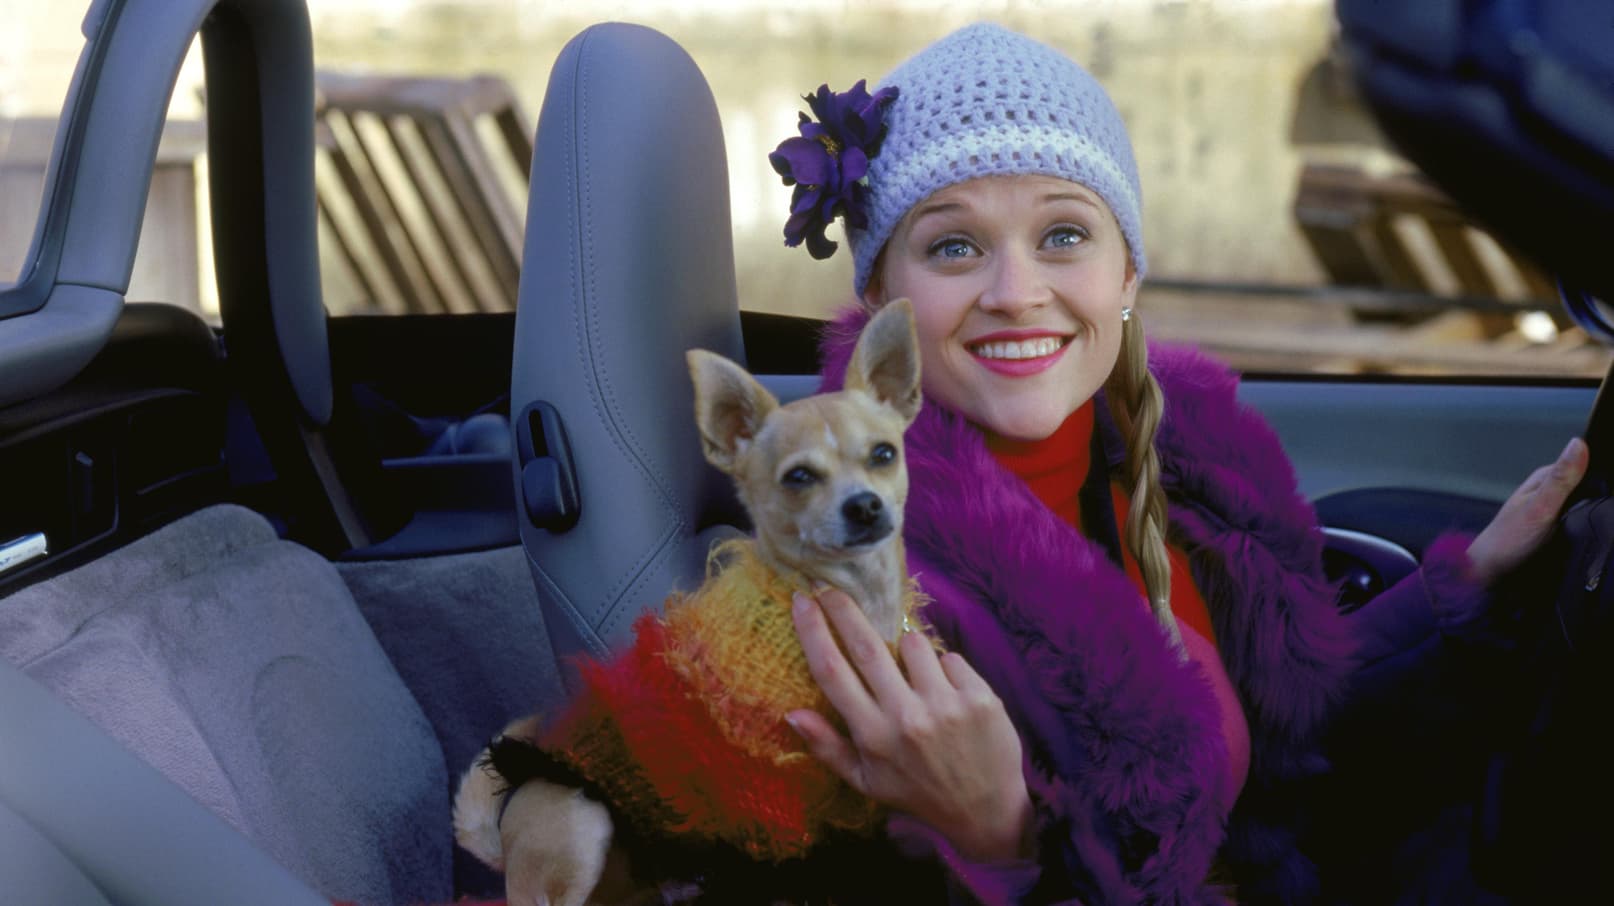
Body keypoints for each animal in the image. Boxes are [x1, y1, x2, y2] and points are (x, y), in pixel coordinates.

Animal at [454, 299, 924, 906]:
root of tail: (508, 849)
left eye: (884, 455)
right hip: (582, 827)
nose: (864, 505)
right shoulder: (769, 790)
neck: (842, 593)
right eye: (798, 477)